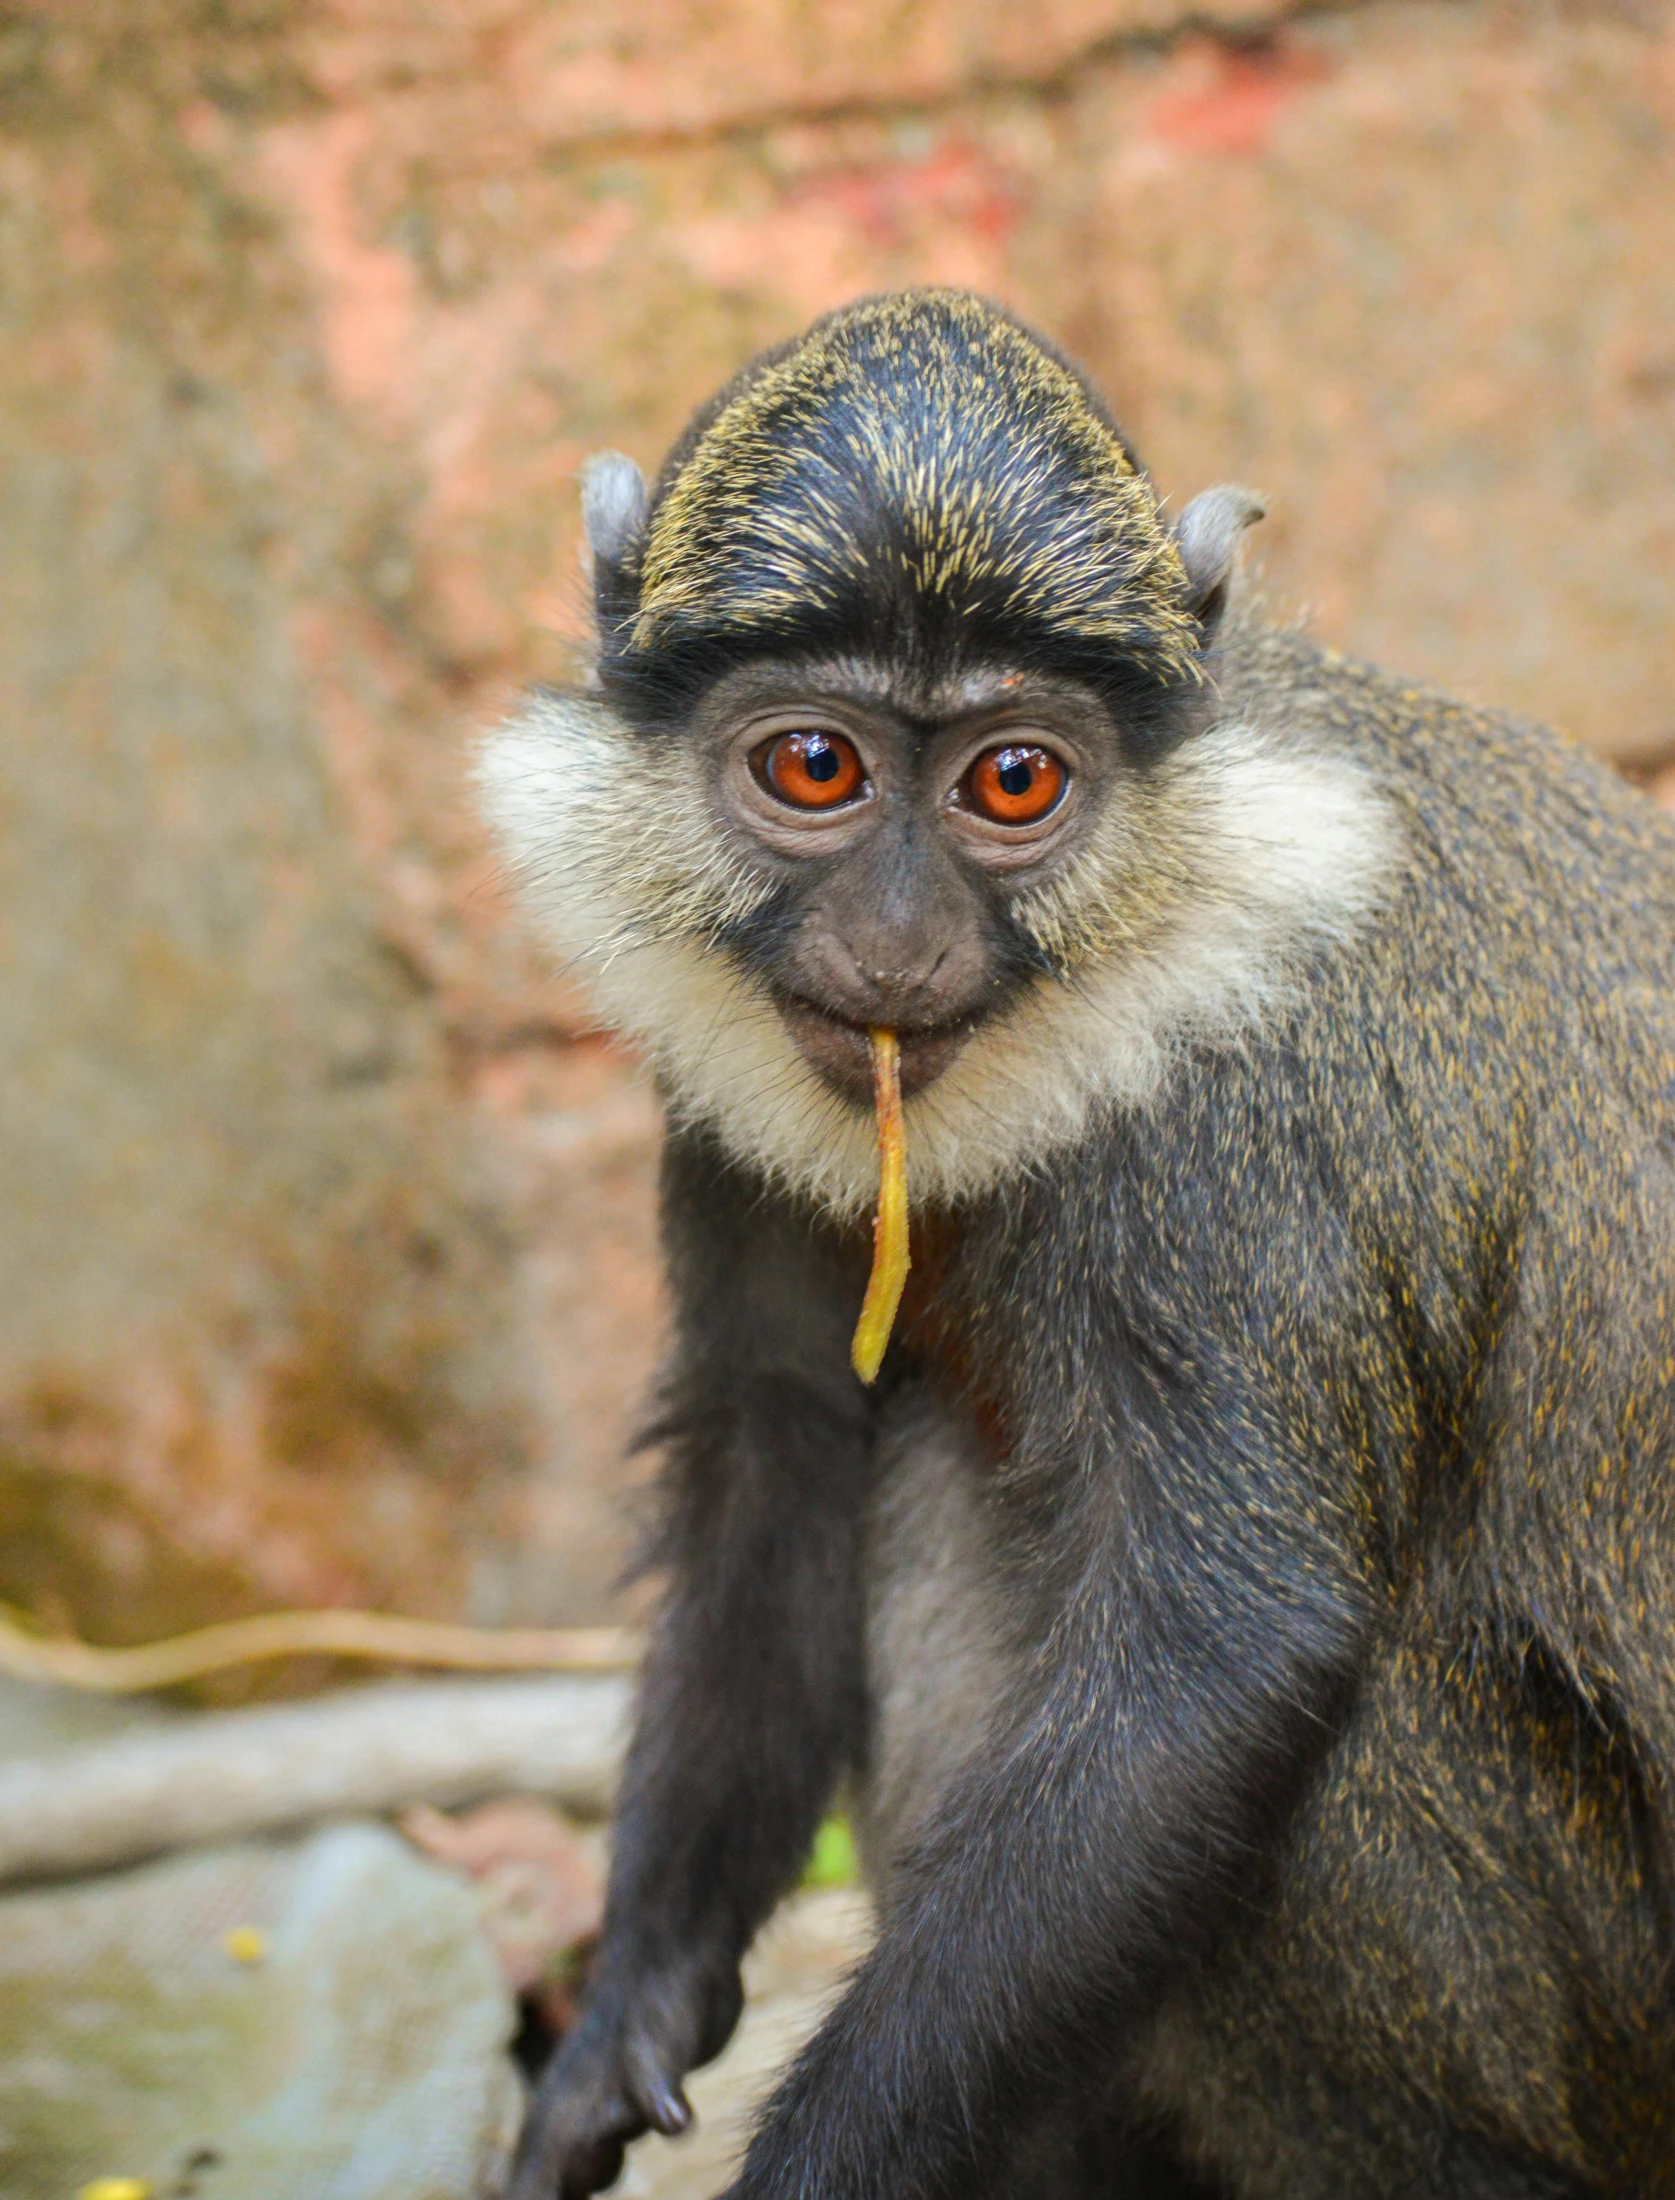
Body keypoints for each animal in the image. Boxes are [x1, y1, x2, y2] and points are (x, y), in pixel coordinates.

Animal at [473, 283, 1675, 2191]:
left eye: (1016, 782)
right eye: (814, 762)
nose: (896, 942)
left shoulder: (1248, 1137)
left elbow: (1214, 1665)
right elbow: (778, 1464)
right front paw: (619, 2025)